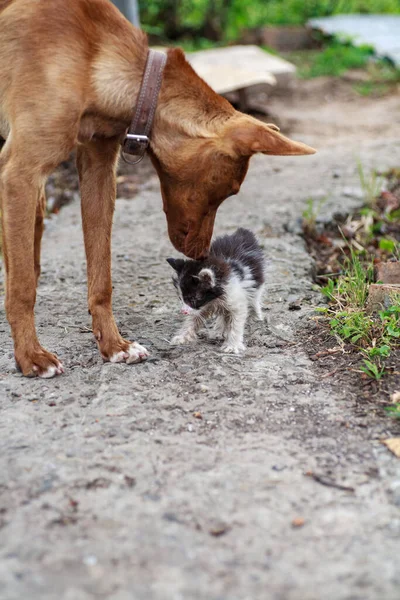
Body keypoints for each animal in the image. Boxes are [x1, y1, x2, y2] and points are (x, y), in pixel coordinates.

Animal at [0, 0, 312, 378]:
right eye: (229, 190)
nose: (202, 253)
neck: (96, 57)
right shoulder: (20, 172)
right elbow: (22, 288)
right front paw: (30, 355)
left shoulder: (98, 168)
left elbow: (100, 275)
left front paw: (113, 345)